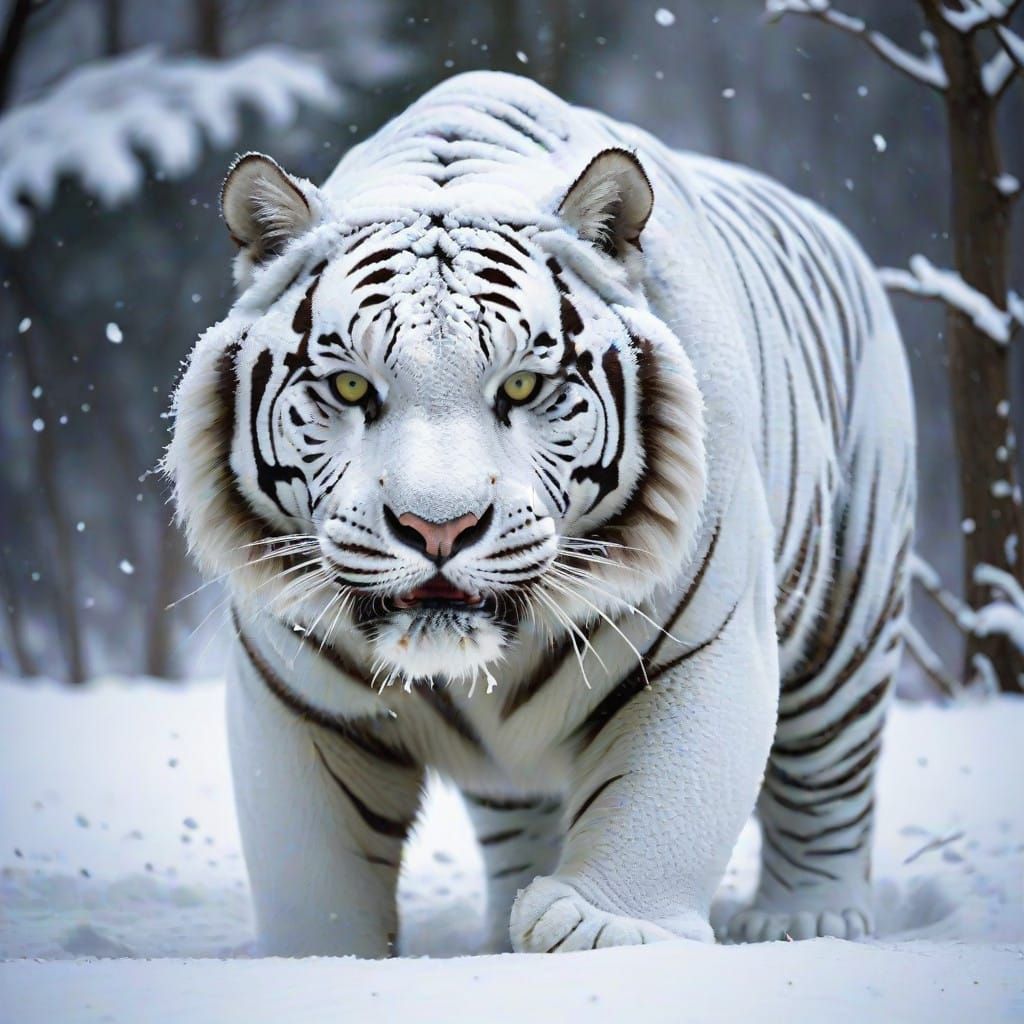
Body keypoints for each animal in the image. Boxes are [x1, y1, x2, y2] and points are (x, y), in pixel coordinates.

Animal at [165, 70, 915, 957]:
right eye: (350, 386)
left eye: (522, 385)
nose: (439, 528)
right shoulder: (297, 695)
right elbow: (310, 858)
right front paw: (321, 957)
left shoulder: (699, 642)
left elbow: (667, 795)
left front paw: (605, 929)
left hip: (850, 608)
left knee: (827, 772)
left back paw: (805, 920)